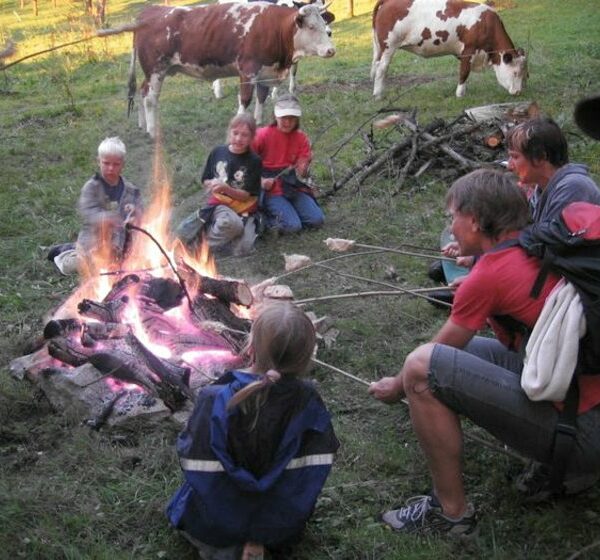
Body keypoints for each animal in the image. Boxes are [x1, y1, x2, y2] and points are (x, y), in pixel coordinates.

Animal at [127, 1, 336, 137]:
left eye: (324, 23)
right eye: (311, 26)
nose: (331, 50)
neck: (274, 28)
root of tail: (150, 11)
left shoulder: (265, 71)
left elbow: (261, 97)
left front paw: (258, 121)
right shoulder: (248, 70)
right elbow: (245, 100)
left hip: (152, 72)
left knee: (142, 92)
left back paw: (142, 124)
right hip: (156, 69)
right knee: (151, 98)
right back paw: (152, 131)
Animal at [372, 0, 528, 98]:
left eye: (525, 74)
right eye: (515, 73)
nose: (518, 92)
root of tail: (388, 1)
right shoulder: (468, 50)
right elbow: (464, 72)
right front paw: (460, 94)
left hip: (380, 48)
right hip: (388, 45)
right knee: (381, 68)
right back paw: (378, 94)